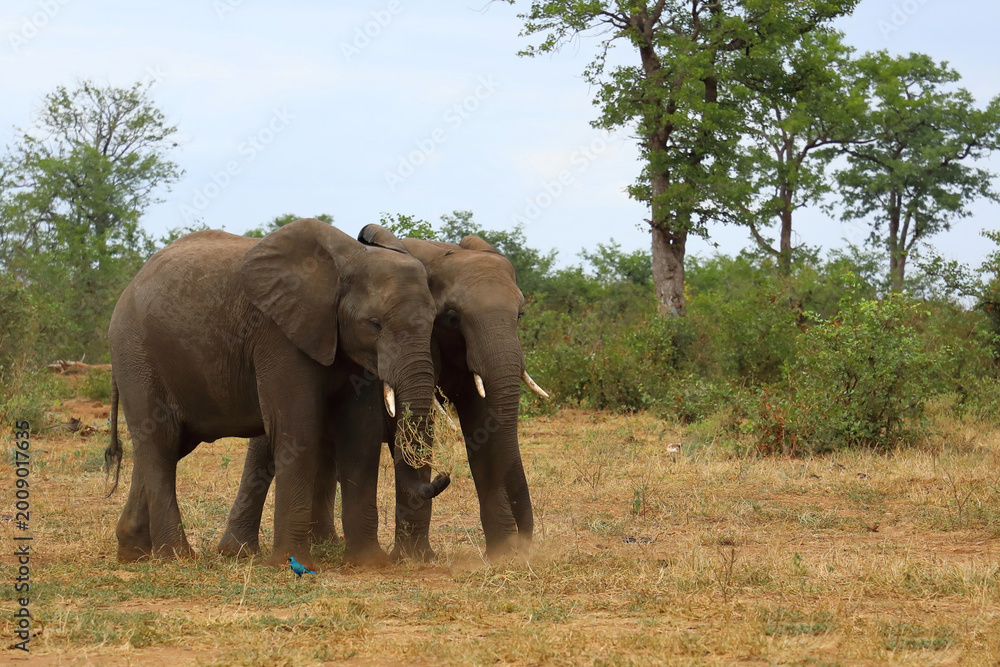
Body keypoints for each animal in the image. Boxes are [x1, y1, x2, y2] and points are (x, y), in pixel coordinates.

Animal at [104, 218, 449, 572]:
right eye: (374, 323)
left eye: (435, 321)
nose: (444, 477)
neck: (348, 258)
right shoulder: (278, 334)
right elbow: (296, 427)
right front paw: (290, 563)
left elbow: (359, 435)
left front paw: (368, 564)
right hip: (137, 355)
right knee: (160, 442)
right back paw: (176, 557)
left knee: (167, 446)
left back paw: (133, 552)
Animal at [218, 226, 549, 563]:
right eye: (452, 316)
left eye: (520, 314)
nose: (524, 543)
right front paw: (415, 559)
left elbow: (481, 427)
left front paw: (502, 556)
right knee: (266, 449)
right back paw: (239, 552)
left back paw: (325, 546)